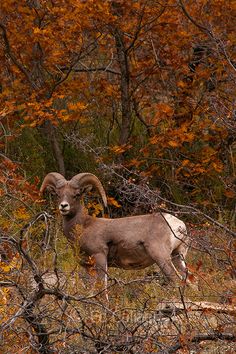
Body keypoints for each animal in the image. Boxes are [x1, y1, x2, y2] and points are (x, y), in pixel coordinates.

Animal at [39, 173, 189, 286]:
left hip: (161, 256)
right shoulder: (88, 267)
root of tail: (179, 225)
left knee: (176, 280)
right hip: (177, 256)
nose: (64, 206)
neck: (84, 226)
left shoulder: (99, 257)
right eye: (58, 194)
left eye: (76, 194)